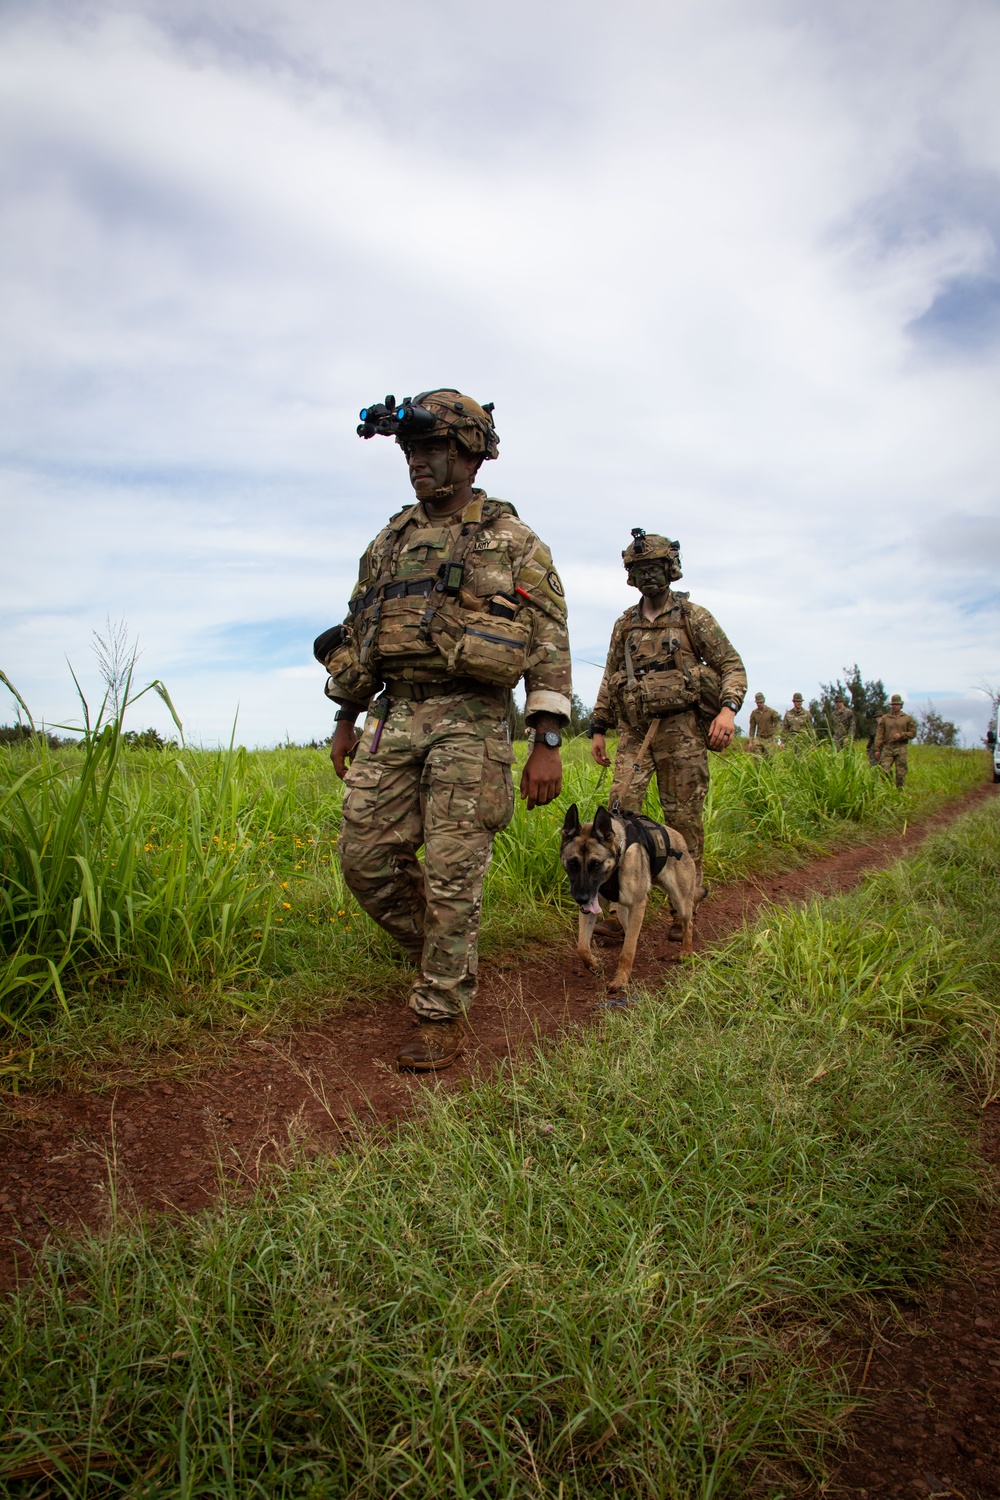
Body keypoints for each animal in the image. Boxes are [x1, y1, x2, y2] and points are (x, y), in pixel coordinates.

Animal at [560, 804, 701, 990]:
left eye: (596, 864)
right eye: (572, 863)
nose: (581, 899)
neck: (616, 861)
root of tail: (679, 838)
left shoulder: (638, 905)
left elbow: (627, 951)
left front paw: (620, 980)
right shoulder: (590, 911)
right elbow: (582, 948)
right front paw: (594, 965)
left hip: (680, 902)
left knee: (688, 923)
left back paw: (686, 951)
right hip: (622, 910)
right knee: (629, 931)